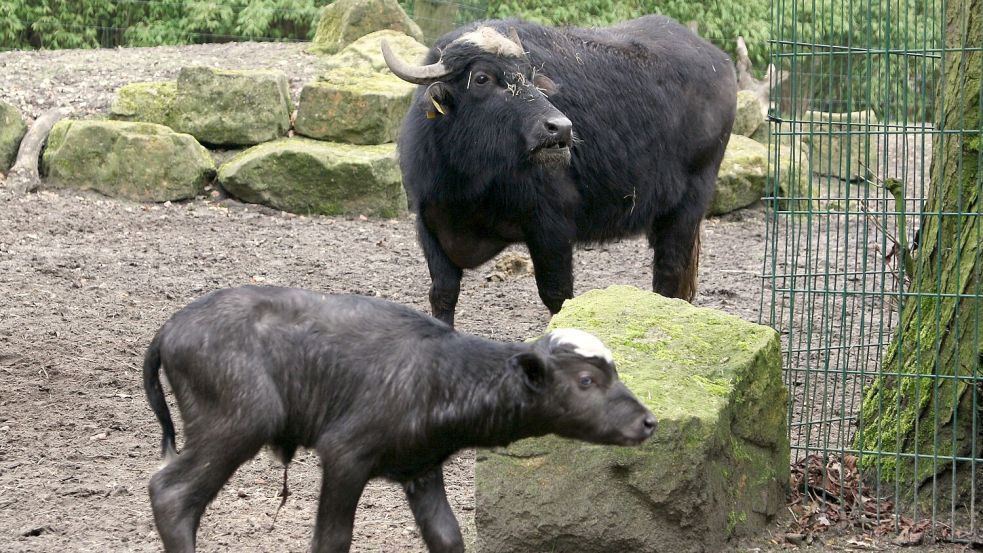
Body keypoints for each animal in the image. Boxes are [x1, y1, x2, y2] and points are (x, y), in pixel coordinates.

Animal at [143, 285, 656, 553]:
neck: (442, 374)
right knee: (172, 494)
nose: (648, 422)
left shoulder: (422, 470)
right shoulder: (345, 455)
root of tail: (169, 330)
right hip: (236, 424)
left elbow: (447, 538)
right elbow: (332, 540)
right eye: (587, 380)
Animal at [383, 16, 737, 326]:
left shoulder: (551, 225)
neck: (467, 180)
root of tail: (720, 61)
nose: (561, 127)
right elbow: (443, 293)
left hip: (690, 202)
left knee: (669, 272)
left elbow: (558, 296)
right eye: (482, 78)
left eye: (530, 76)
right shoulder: (429, 223)